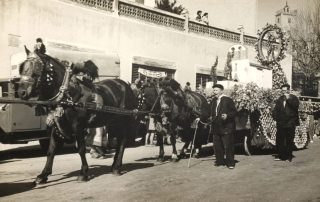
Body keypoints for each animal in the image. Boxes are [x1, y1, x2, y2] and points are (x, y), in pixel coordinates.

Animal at [17, 46, 138, 184]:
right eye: (22, 67)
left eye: (37, 68)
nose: (21, 92)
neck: (67, 95)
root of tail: (126, 85)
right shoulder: (56, 126)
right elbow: (51, 150)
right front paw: (43, 174)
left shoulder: (78, 127)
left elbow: (81, 149)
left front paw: (83, 173)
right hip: (113, 122)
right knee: (118, 141)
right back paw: (114, 166)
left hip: (124, 120)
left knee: (122, 142)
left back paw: (117, 167)